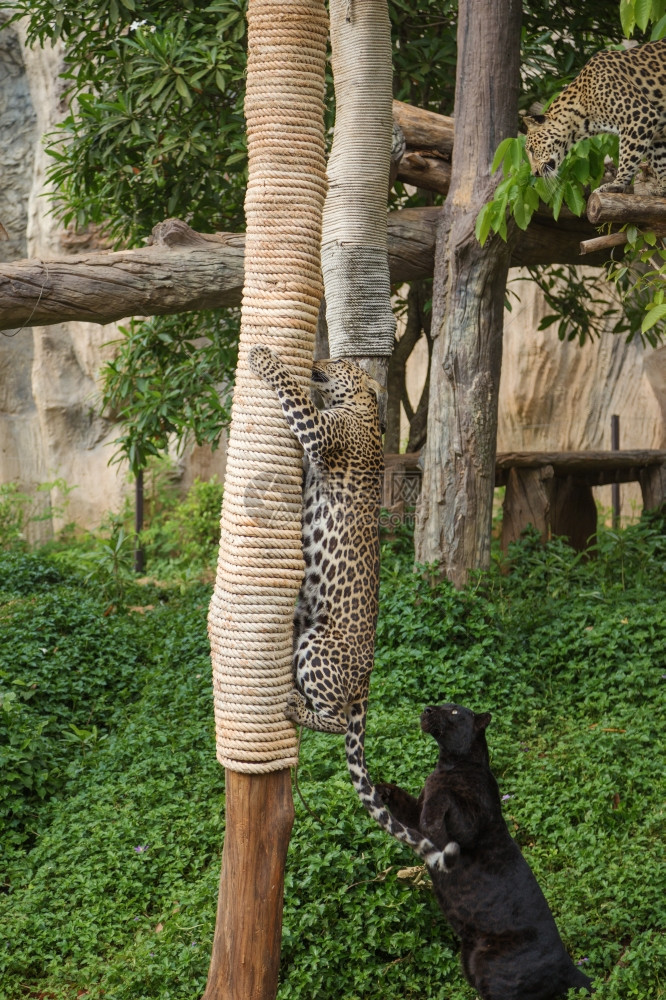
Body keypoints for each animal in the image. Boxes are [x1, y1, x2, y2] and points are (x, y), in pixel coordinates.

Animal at [246, 346, 460, 876]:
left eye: (340, 362)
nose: (321, 358)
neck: (362, 411)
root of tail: (366, 677)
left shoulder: (321, 434)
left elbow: (293, 393)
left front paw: (263, 355)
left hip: (317, 646)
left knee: (337, 720)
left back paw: (293, 706)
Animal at [374, 704, 592, 1000]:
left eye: (454, 711)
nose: (428, 708)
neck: (449, 763)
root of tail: (568, 966)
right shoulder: (413, 816)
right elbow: (401, 798)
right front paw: (380, 788)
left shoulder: (468, 826)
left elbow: (445, 798)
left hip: (493, 972)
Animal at [524, 38, 664, 193]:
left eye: (532, 150)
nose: (535, 173)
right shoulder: (656, 133)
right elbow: (660, 161)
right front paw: (663, 188)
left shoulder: (640, 116)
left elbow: (628, 156)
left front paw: (616, 184)